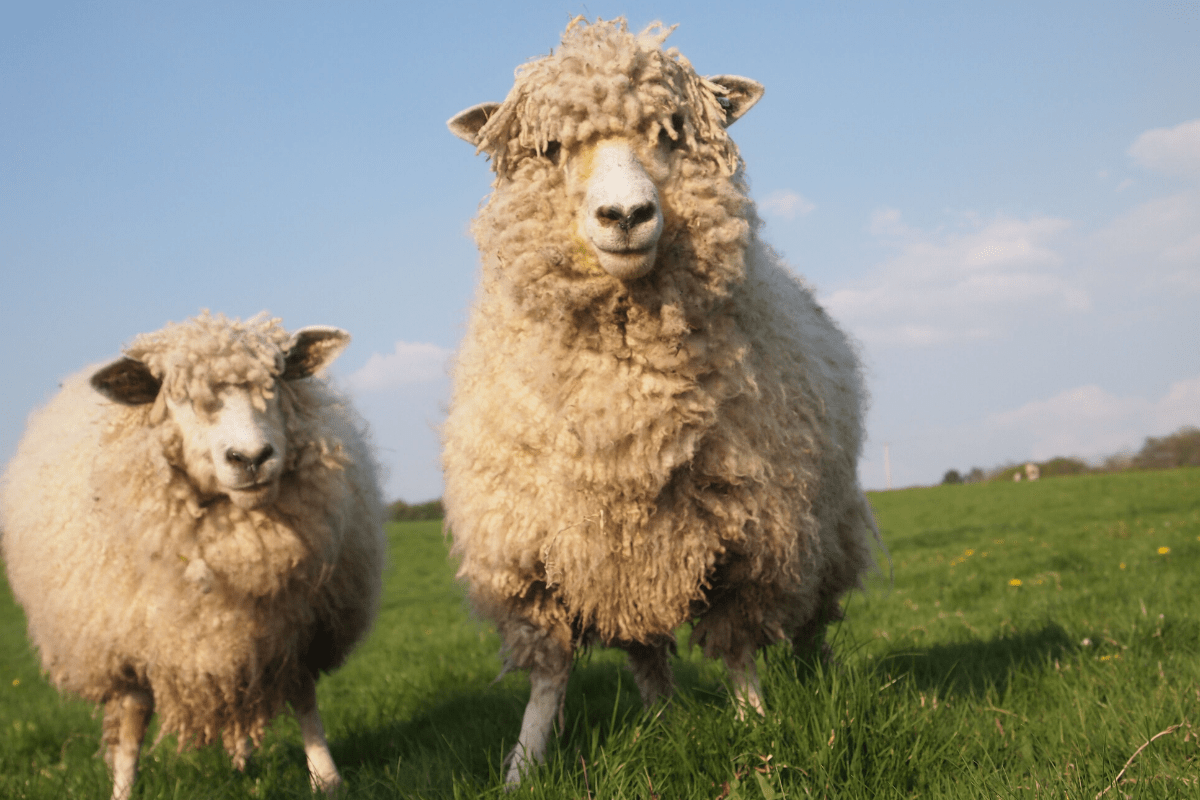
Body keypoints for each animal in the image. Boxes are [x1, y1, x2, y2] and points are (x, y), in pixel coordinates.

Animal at [0, 312, 386, 800]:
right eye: (178, 397)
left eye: (276, 380)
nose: (251, 457)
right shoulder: (129, 644)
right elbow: (132, 724)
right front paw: (123, 789)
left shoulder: (296, 625)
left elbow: (304, 698)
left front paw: (327, 778)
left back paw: (242, 760)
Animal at [442, 17, 879, 784]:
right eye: (551, 148)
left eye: (670, 134)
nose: (626, 215)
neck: (625, 405)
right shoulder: (531, 561)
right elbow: (548, 677)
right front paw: (523, 764)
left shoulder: (751, 540)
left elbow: (737, 650)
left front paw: (756, 731)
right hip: (624, 562)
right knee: (644, 647)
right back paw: (660, 718)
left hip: (820, 533)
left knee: (810, 622)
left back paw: (814, 675)